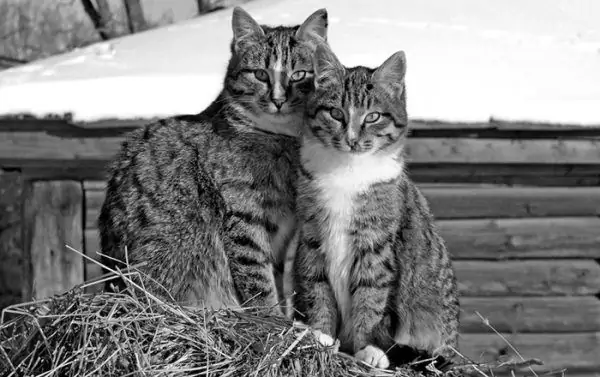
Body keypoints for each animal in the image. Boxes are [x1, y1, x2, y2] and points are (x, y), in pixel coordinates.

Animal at [101, 7, 330, 312]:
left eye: (299, 75)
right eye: (260, 74)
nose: (278, 100)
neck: (282, 138)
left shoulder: (282, 232)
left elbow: (277, 277)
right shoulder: (244, 216)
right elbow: (257, 279)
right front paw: (271, 316)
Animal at [292, 44, 460, 368]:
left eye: (372, 117)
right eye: (335, 113)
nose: (352, 139)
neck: (347, 169)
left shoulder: (377, 244)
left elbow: (371, 298)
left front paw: (367, 347)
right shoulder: (312, 237)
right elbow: (317, 288)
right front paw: (320, 335)